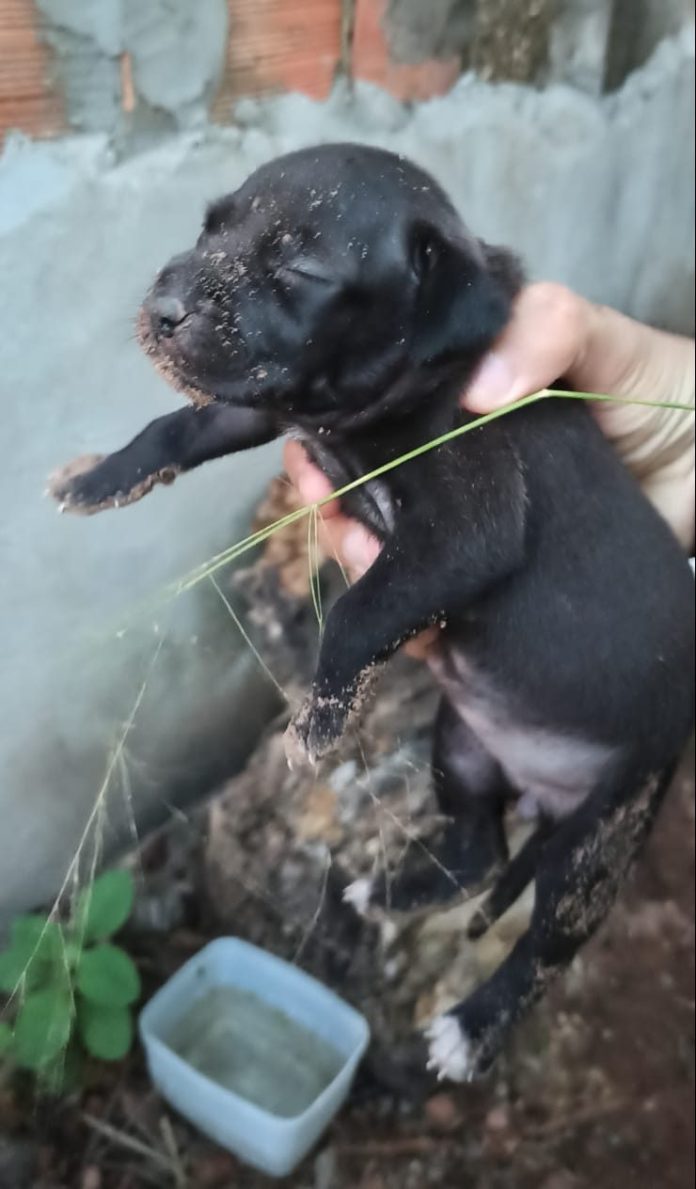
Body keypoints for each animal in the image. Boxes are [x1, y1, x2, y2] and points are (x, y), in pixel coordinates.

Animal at [48, 146, 690, 1079]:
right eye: (209, 227)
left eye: (302, 271)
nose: (161, 304)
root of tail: (541, 792)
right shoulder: (266, 399)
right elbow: (179, 425)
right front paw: (98, 477)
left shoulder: (468, 524)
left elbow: (356, 611)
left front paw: (321, 717)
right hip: (462, 746)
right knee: (479, 850)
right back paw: (392, 890)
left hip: (602, 832)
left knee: (546, 942)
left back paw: (473, 1027)